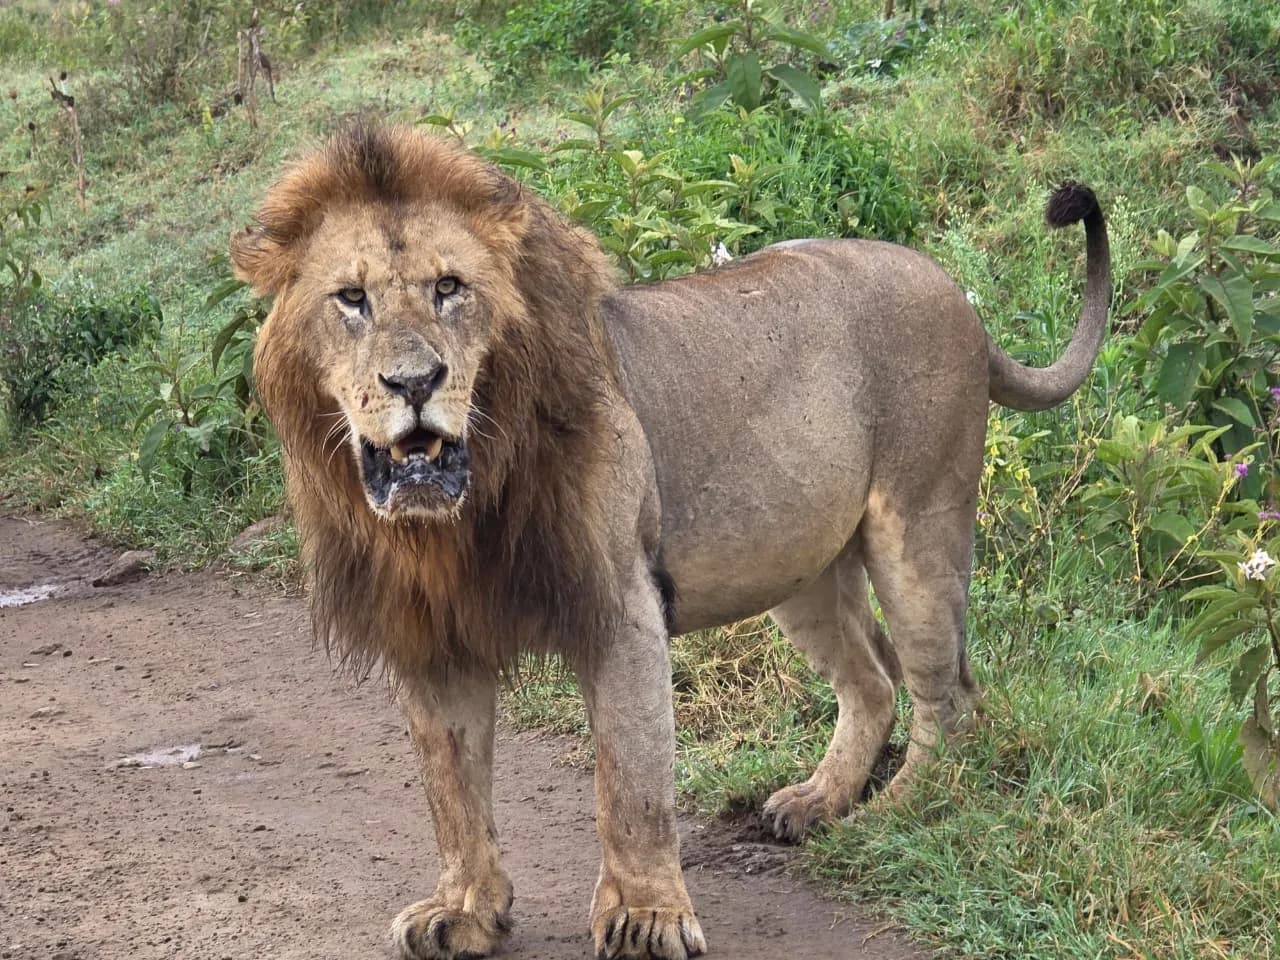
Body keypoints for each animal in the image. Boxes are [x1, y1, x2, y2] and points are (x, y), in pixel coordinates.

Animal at [231, 124, 1109, 960]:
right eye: (351, 299)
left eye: (450, 288)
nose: (416, 383)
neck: (455, 521)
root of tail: (957, 295)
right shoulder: (433, 637)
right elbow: (452, 790)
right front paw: (465, 911)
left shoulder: (620, 602)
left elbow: (631, 781)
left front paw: (647, 918)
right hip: (800, 567)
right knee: (874, 680)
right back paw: (817, 801)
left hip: (919, 525)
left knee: (947, 698)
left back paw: (888, 817)